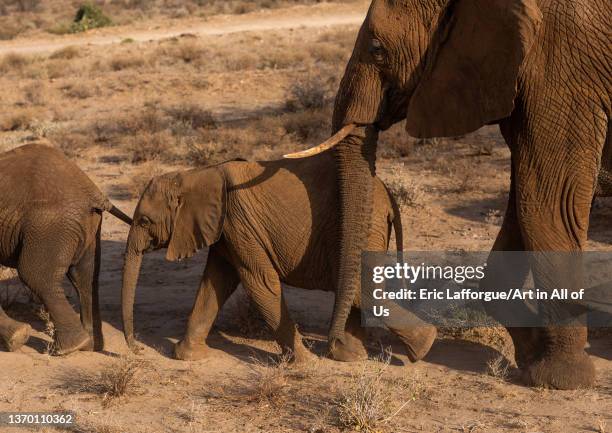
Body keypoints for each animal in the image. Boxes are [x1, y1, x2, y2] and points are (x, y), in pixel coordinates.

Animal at [0, 143, 133, 352]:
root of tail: (91, 189)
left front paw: (16, 340)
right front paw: (16, 338)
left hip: (50, 223)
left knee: (34, 275)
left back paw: (67, 348)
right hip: (84, 226)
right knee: (85, 278)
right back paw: (89, 346)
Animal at [120, 152, 436, 362]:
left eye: (144, 221)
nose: (137, 349)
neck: (194, 174)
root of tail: (388, 194)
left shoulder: (237, 221)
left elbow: (259, 283)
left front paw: (306, 363)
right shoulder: (226, 230)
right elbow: (215, 283)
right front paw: (187, 356)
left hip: (365, 227)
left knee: (357, 288)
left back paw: (422, 347)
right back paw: (352, 356)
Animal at [286, 0, 612, 390]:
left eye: (377, 50)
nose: (335, 350)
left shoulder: (560, 68)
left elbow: (548, 201)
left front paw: (559, 379)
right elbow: (525, 201)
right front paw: (530, 353)